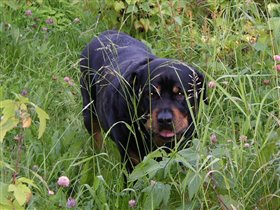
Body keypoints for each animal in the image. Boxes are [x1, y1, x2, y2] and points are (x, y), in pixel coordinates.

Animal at [80, 30, 207, 174]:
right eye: (151, 94)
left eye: (180, 94)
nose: (165, 119)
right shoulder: (131, 158)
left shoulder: (186, 149)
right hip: (89, 110)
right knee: (96, 135)